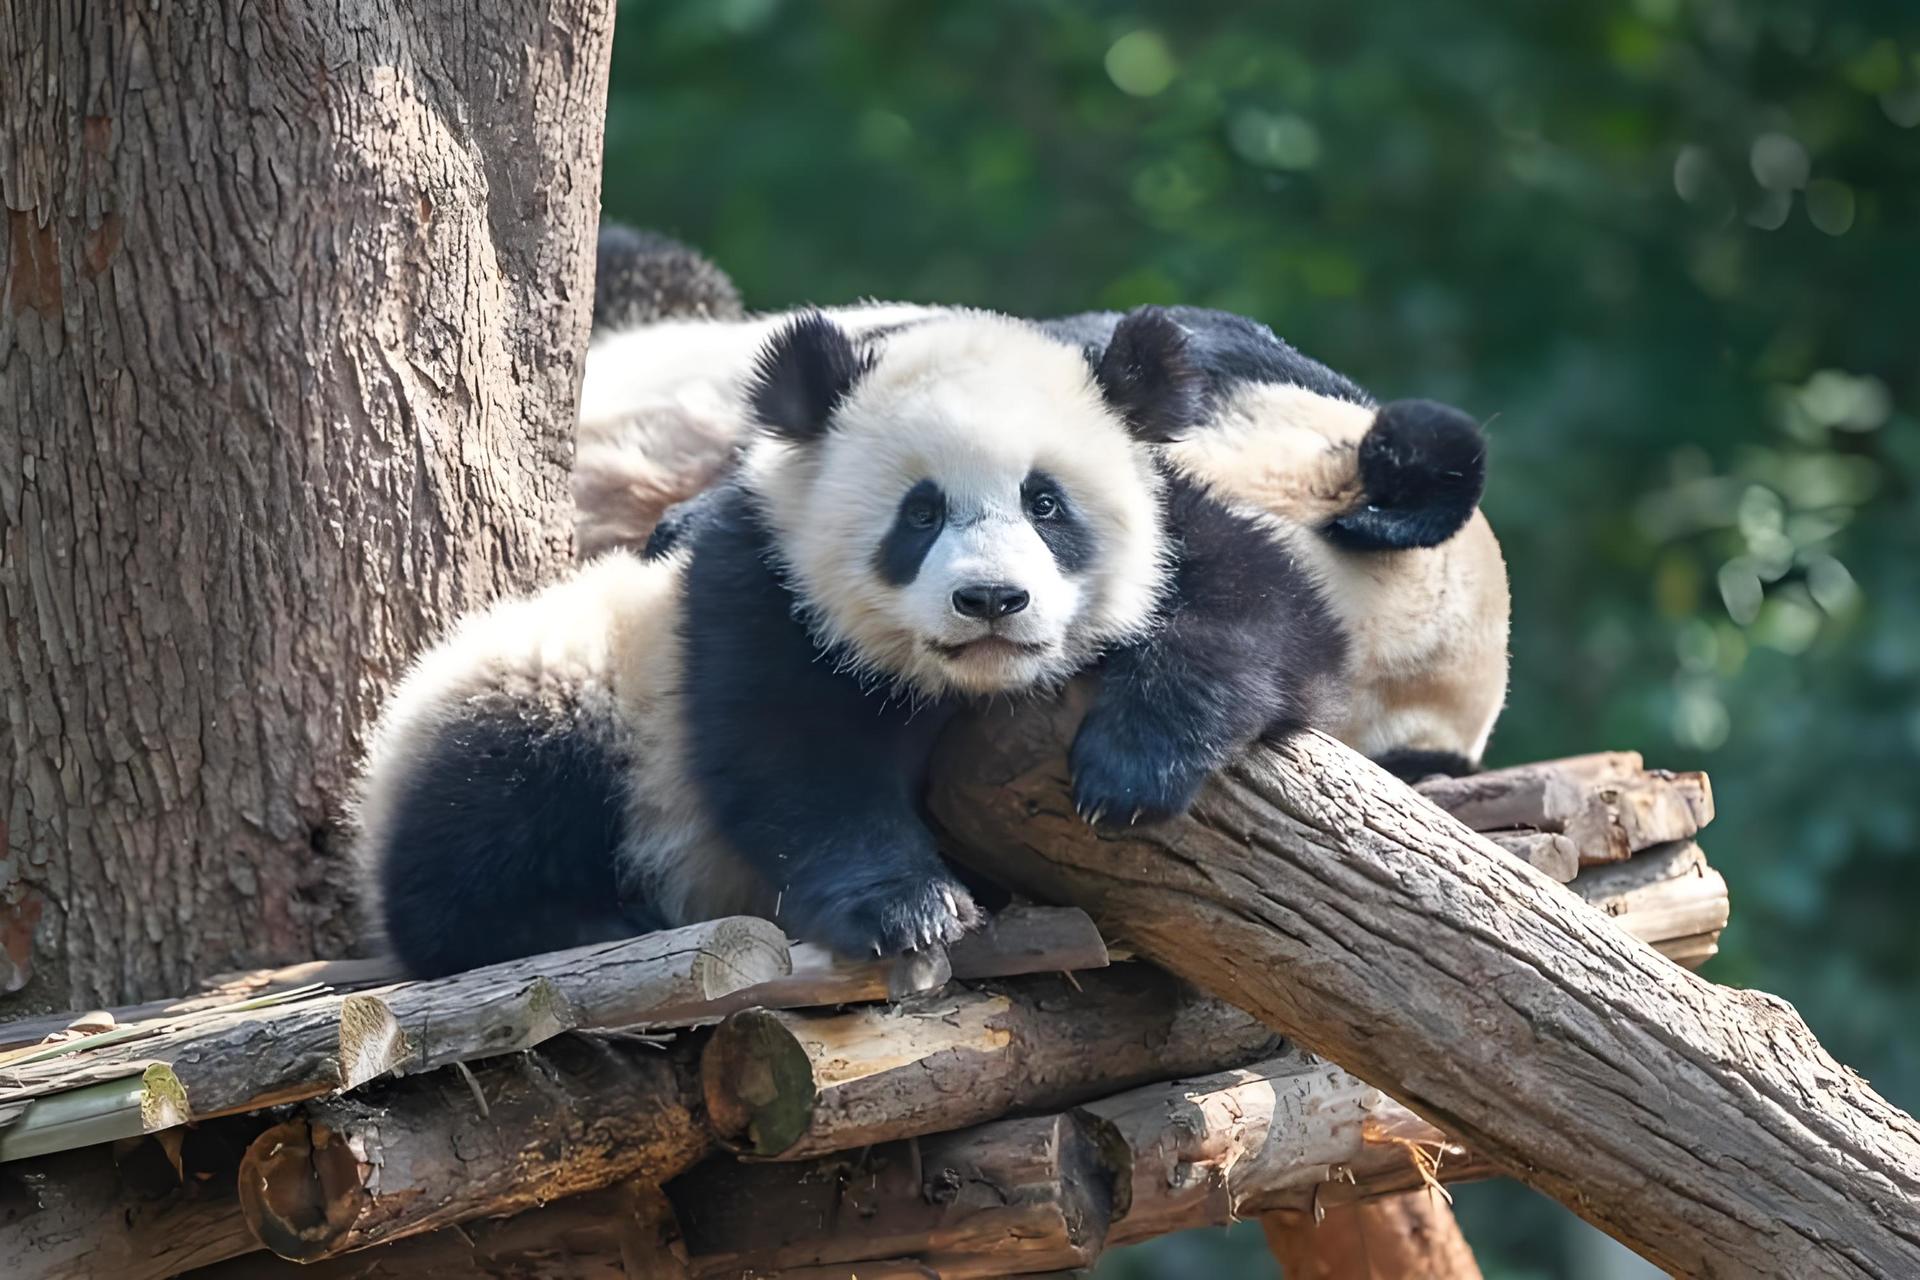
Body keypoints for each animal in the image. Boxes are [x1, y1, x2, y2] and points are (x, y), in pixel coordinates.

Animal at [356, 302, 1344, 977]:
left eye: (1046, 502)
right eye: (920, 513)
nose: (992, 599)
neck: (966, 690)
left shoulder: (1188, 524)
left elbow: (1273, 618)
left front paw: (1132, 771)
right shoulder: (761, 589)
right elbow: (795, 759)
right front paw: (909, 911)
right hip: (557, 685)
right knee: (483, 819)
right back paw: (579, 921)